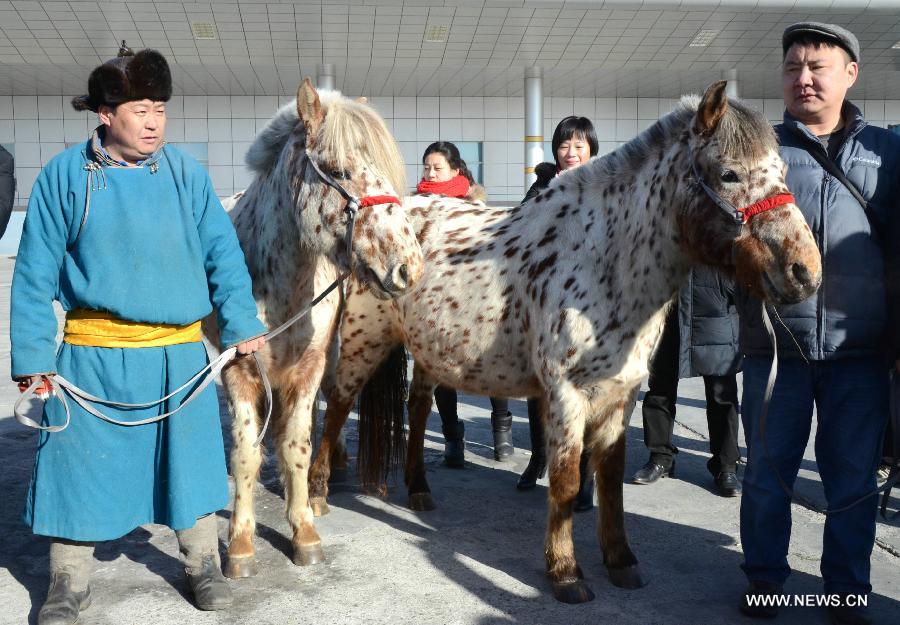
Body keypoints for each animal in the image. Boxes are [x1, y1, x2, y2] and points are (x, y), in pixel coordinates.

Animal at [204, 79, 426, 580]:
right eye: (340, 170)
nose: (409, 267)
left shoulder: (308, 367)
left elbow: (297, 445)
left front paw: (303, 528)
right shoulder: (238, 371)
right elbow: (246, 453)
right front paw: (241, 543)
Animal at [308, 80, 824, 604]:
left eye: (782, 172)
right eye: (728, 173)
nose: (805, 271)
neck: (603, 260)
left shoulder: (621, 395)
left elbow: (610, 479)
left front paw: (621, 561)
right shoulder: (565, 394)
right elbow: (567, 477)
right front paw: (565, 573)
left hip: (429, 352)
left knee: (415, 410)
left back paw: (418, 490)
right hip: (363, 343)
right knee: (336, 407)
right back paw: (317, 493)